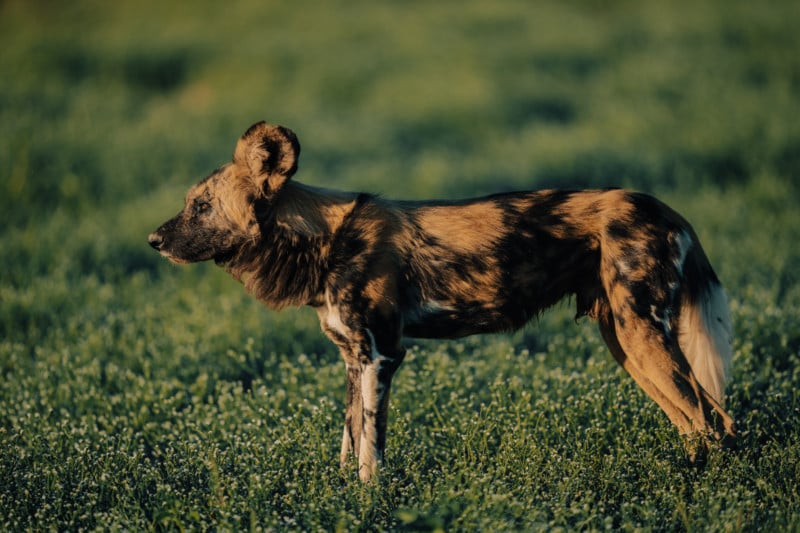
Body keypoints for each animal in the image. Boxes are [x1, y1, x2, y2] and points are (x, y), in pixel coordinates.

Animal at [150, 121, 736, 482]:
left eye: (201, 207)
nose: (153, 240)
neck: (323, 240)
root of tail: (666, 208)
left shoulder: (382, 356)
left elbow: (370, 451)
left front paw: (369, 503)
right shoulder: (352, 359)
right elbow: (348, 441)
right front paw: (337, 498)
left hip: (642, 334)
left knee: (713, 421)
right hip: (625, 341)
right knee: (699, 422)